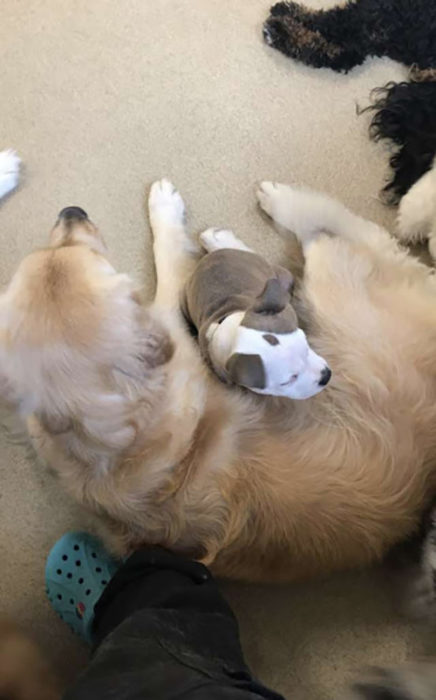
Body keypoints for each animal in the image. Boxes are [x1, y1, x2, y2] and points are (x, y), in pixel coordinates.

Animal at [262, 0, 436, 211]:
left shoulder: (378, 17)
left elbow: (331, 20)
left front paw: (284, 21)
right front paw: (288, 9)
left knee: (334, 52)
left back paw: (279, 32)